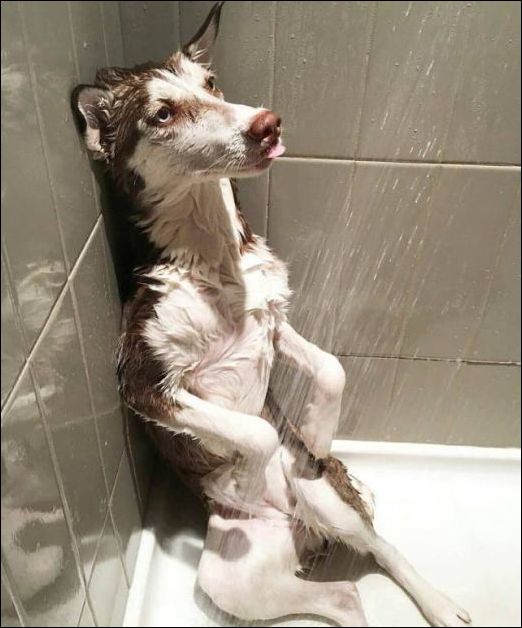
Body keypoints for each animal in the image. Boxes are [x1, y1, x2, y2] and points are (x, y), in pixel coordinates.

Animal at [72, 3, 472, 626]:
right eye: (163, 113)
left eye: (211, 84)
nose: (267, 124)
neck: (212, 258)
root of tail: (301, 530)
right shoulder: (145, 381)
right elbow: (255, 430)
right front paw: (242, 476)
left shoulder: (273, 323)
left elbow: (332, 367)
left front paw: (317, 429)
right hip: (231, 574)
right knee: (343, 593)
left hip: (323, 497)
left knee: (378, 546)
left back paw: (439, 603)